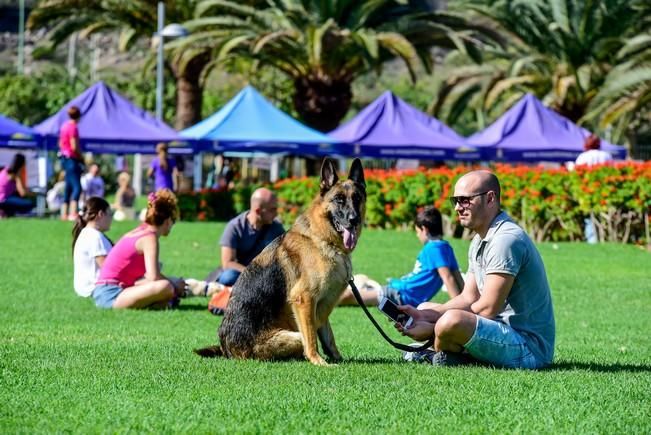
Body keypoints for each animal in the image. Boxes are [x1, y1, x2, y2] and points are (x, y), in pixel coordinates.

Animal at [196, 158, 364, 366]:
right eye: (339, 199)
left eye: (357, 198)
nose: (354, 220)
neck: (322, 240)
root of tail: (226, 350)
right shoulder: (304, 299)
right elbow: (312, 339)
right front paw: (319, 361)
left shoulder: (322, 306)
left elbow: (329, 337)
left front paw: (338, 358)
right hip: (294, 335)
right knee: (303, 342)